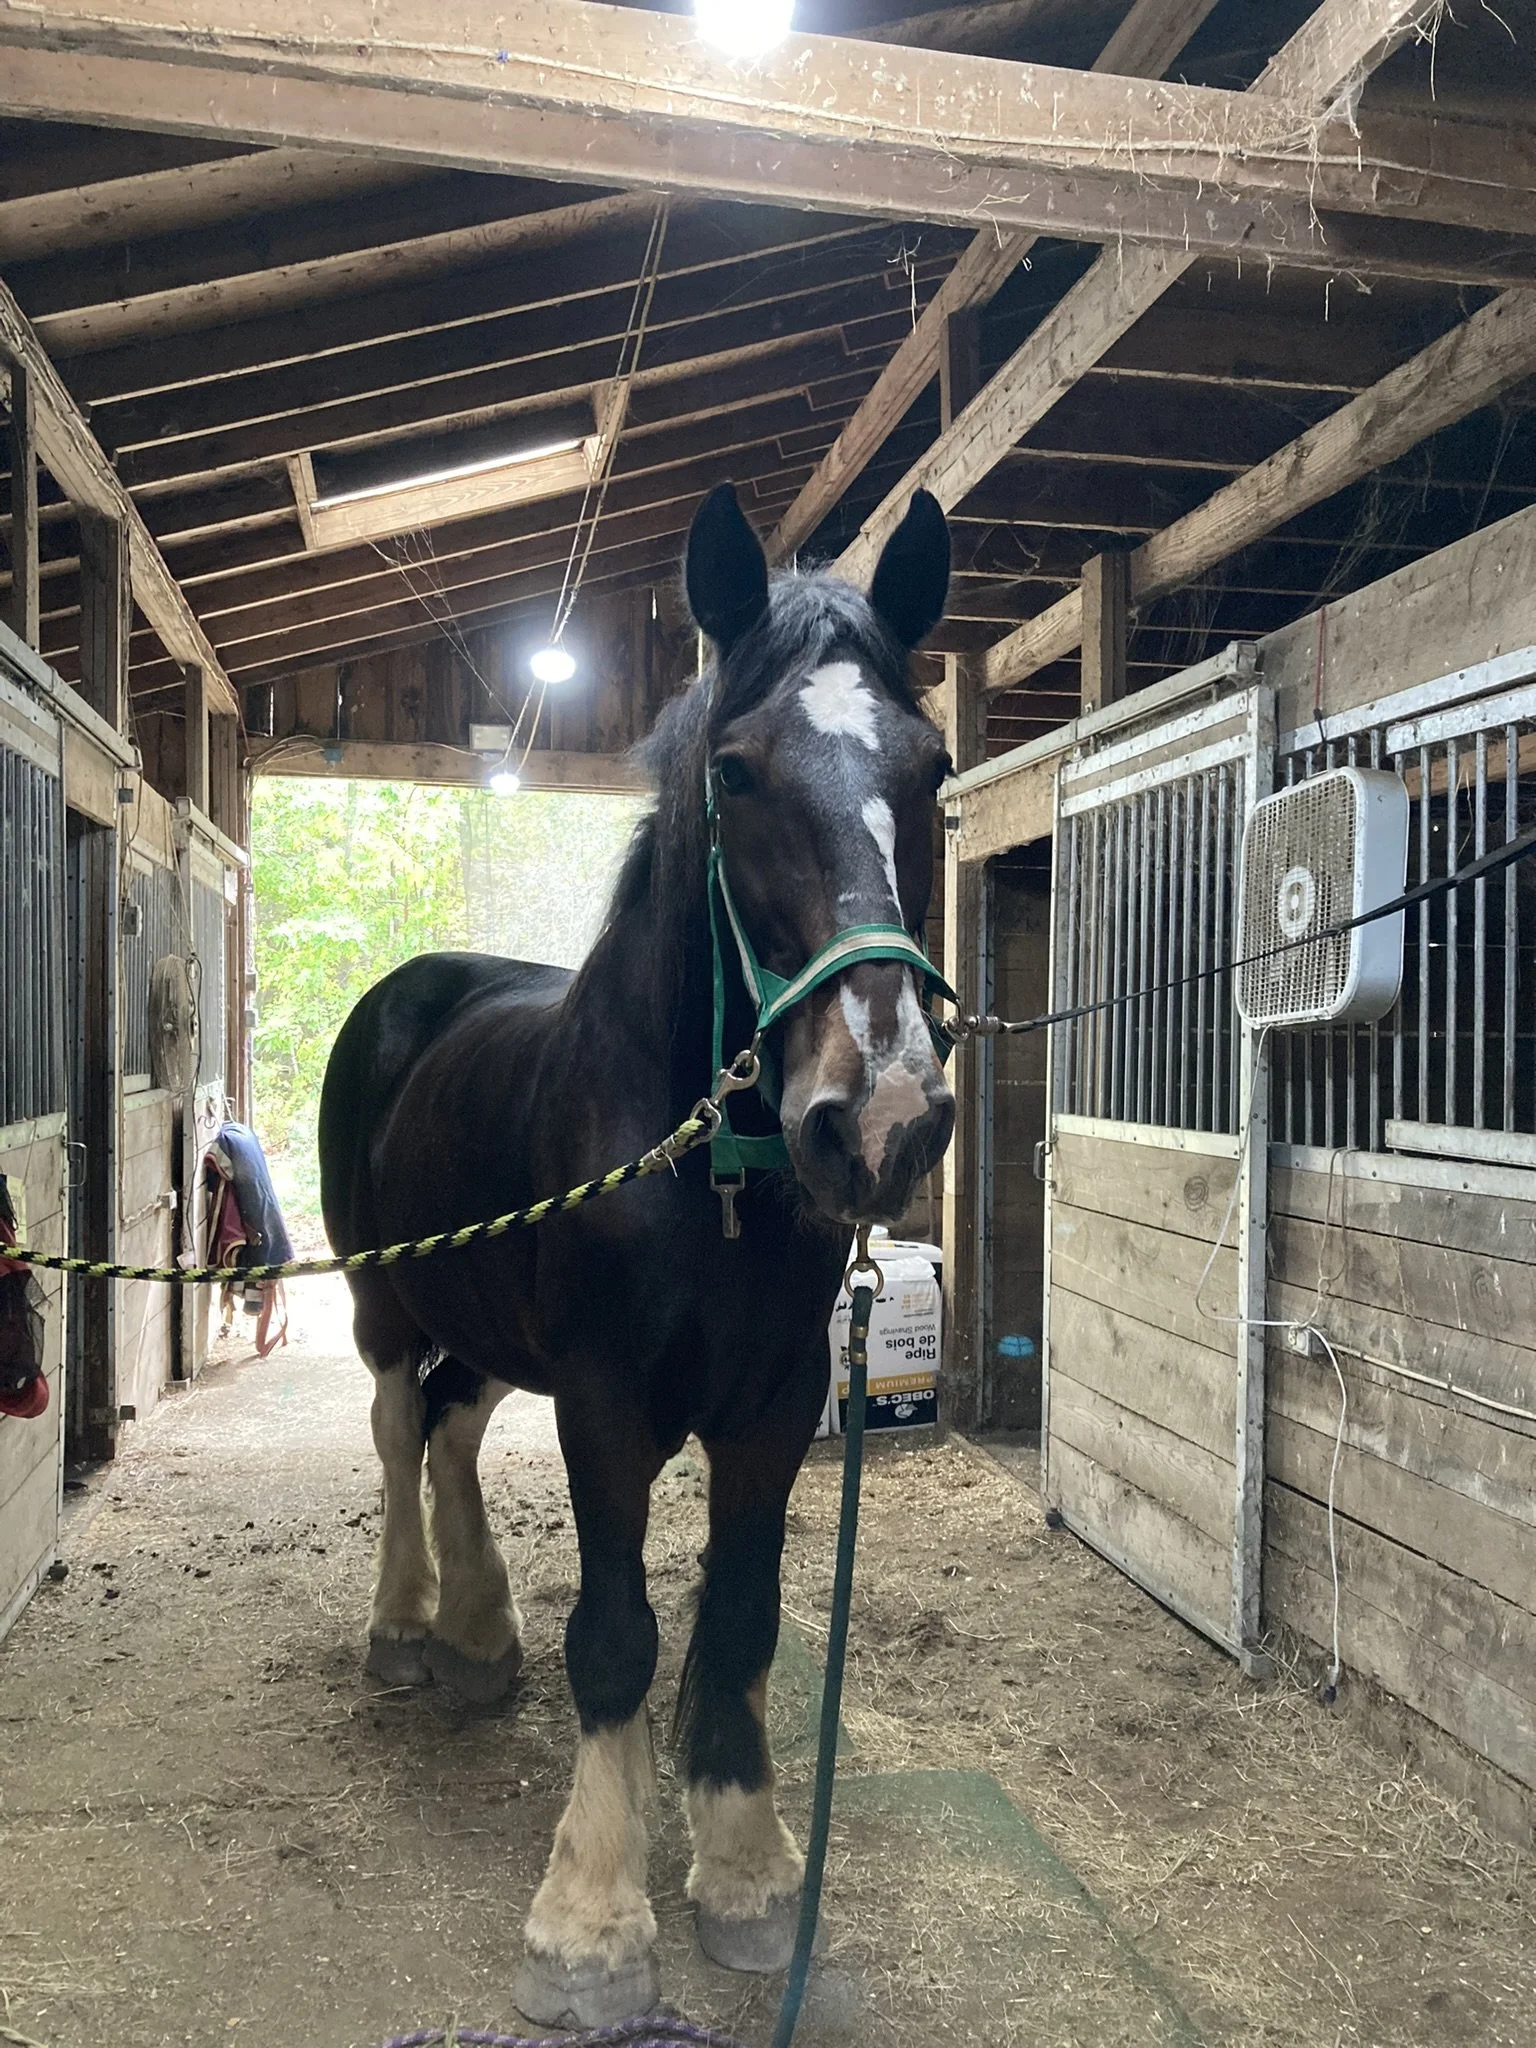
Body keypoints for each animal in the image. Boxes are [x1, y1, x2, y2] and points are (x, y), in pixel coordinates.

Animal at [317, 482, 956, 2027]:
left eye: (934, 765)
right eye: (735, 771)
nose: (884, 1115)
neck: (696, 1164)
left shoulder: (773, 1409)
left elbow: (739, 1619)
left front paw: (748, 1870)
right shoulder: (604, 1404)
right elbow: (615, 1634)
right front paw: (591, 1923)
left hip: (488, 1323)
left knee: (450, 1426)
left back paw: (478, 1637)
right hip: (382, 1300)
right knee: (396, 1429)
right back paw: (405, 1631)